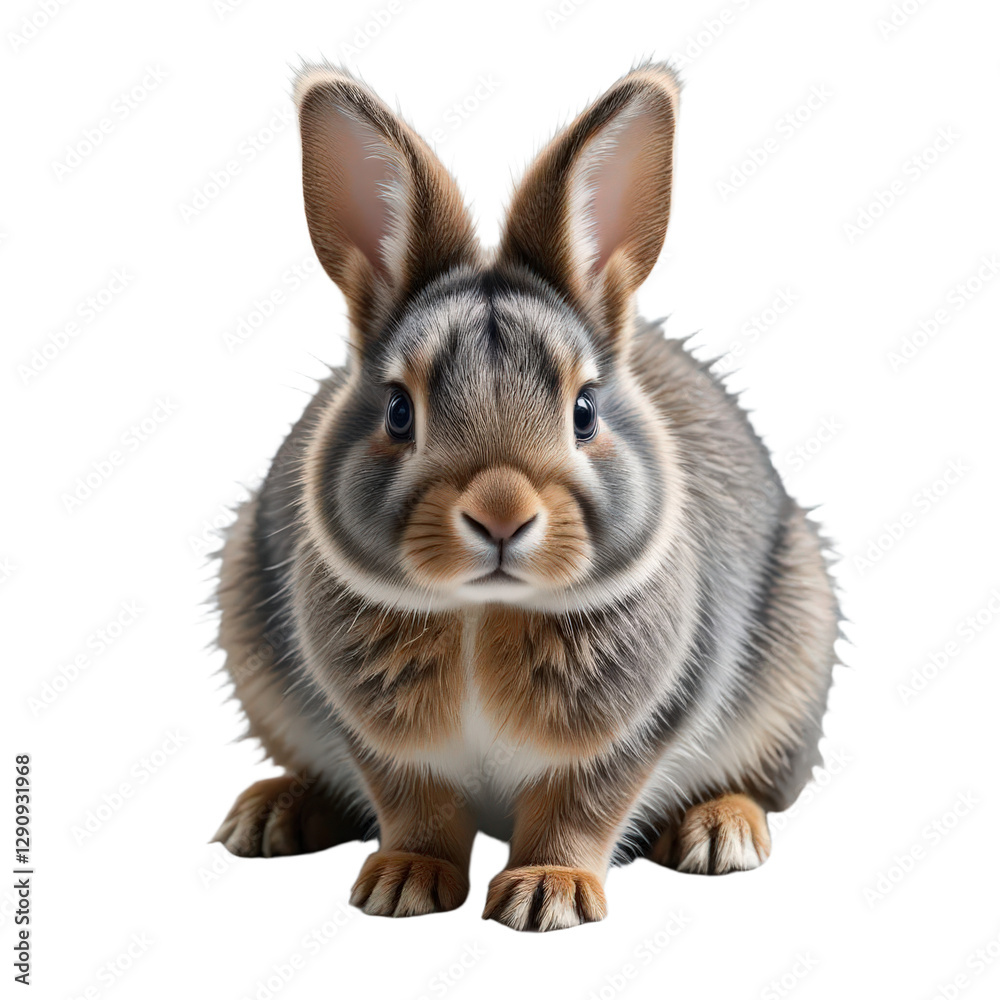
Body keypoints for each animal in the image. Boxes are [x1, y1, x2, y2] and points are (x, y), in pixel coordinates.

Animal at [212, 61, 840, 932]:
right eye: (399, 411)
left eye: (585, 411)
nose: (502, 516)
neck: (484, 608)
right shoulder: (379, 740)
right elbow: (415, 807)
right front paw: (403, 882)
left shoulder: (638, 728)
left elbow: (579, 808)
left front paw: (549, 892)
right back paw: (273, 812)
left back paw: (721, 832)